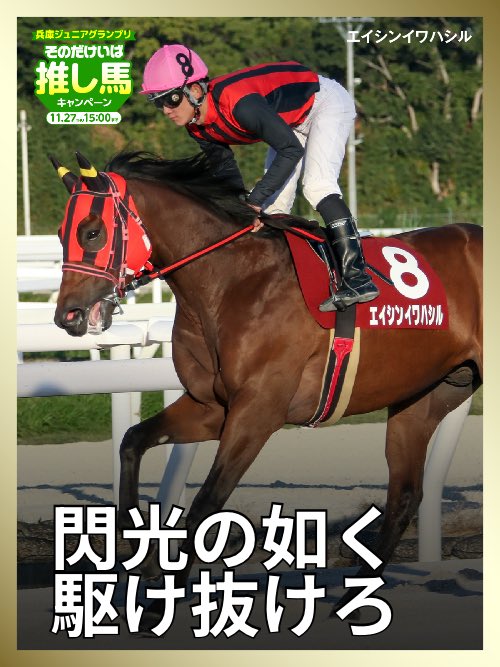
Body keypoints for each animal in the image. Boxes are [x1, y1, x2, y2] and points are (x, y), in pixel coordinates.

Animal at [51, 150, 482, 628]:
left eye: (92, 232)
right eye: (61, 234)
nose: (67, 316)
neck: (232, 281)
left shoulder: (258, 412)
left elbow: (206, 504)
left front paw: (161, 600)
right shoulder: (210, 406)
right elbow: (132, 441)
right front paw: (139, 553)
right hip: (424, 397)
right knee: (405, 494)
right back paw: (354, 598)